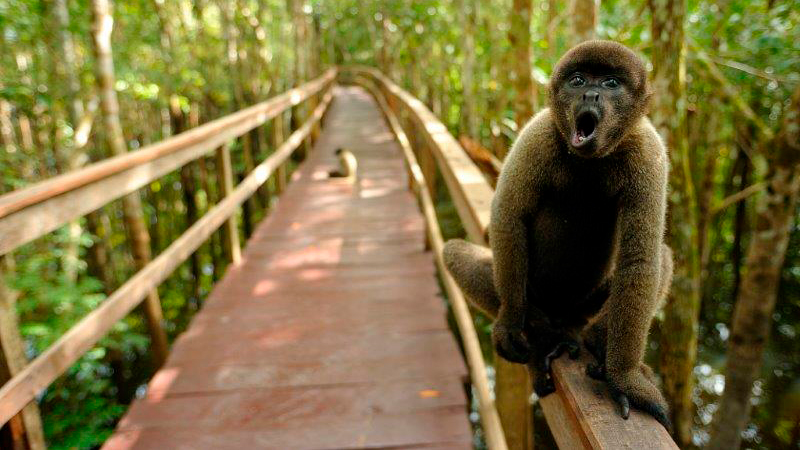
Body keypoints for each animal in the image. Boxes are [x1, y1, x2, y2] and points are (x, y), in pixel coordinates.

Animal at [444, 39, 676, 428]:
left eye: (611, 83)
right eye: (578, 79)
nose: (591, 94)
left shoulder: (650, 153)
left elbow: (640, 260)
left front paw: (624, 379)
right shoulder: (536, 134)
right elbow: (507, 219)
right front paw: (511, 324)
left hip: (583, 307)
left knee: (662, 257)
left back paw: (596, 340)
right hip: (535, 295)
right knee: (453, 251)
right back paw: (541, 337)